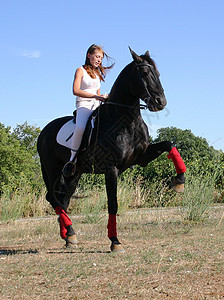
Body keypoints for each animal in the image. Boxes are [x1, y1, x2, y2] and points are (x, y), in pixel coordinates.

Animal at [37, 48, 186, 252]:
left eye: (158, 73)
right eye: (144, 73)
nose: (160, 102)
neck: (125, 119)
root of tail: (43, 132)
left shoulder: (142, 157)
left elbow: (169, 145)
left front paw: (179, 181)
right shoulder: (111, 169)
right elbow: (113, 204)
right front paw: (115, 242)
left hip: (74, 173)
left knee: (63, 199)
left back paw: (68, 236)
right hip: (52, 169)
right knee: (53, 197)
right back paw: (70, 233)